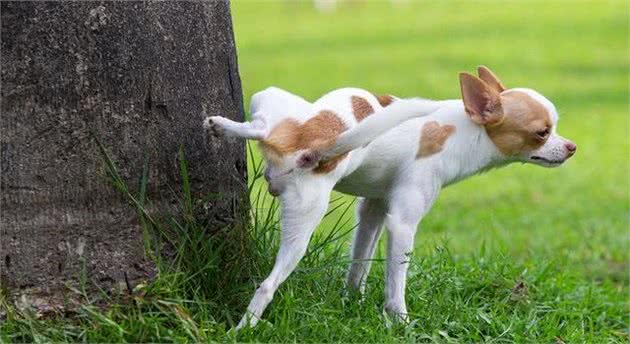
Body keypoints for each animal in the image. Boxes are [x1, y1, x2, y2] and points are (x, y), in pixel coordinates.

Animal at [204, 66, 576, 328]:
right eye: (542, 133)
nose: (572, 147)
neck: (463, 129)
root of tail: (316, 145)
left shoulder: (373, 210)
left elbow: (359, 263)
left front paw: (351, 302)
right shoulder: (402, 224)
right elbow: (396, 283)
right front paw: (400, 322)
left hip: (275, 115)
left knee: (262, 127)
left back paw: (222, 126)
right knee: (267, 286)